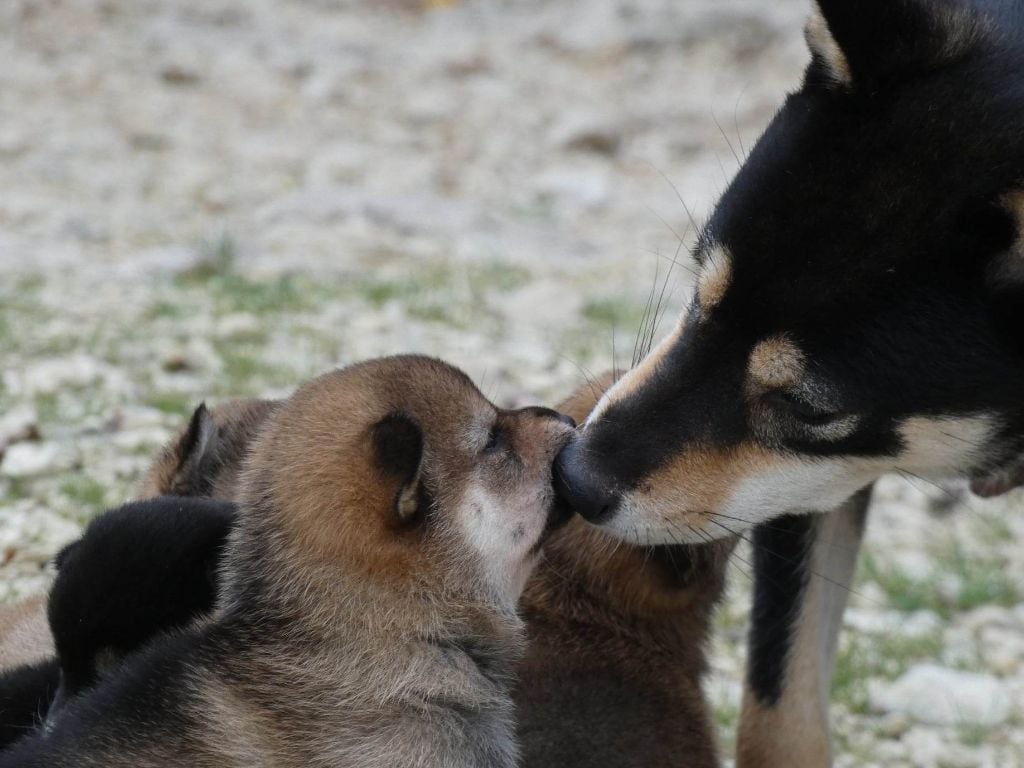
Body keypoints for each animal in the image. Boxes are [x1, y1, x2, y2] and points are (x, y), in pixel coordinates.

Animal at [557, 3, 1024, 765]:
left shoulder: (805, 465)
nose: (573, 479)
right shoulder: (801, 486)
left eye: (809, 409)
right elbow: (781, 719)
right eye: (701, 293)